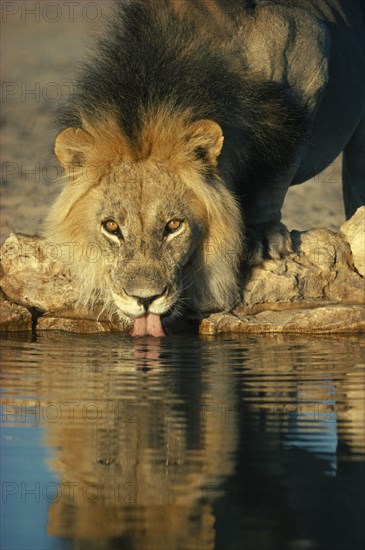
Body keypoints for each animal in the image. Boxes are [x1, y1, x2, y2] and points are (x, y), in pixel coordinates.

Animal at [43, 0, 364, 338]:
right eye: (112, 227)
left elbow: (276, 174)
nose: (145, 299)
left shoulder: (308, 60)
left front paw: (264, 237)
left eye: (174, 225)